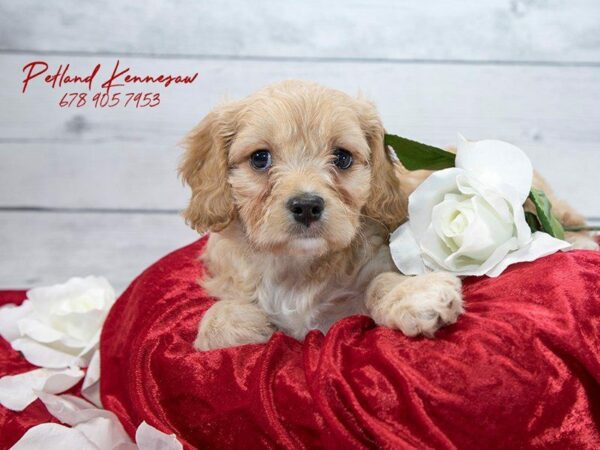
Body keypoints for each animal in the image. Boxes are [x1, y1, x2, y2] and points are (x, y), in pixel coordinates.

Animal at [180, 80, 596, 352]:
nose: (307, 205)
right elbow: (217, 322)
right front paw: (237, 322)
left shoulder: (378, 265)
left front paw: (416, 296)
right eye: (260, 158)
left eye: (342, 157)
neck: (298, 270)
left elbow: (380, 283)